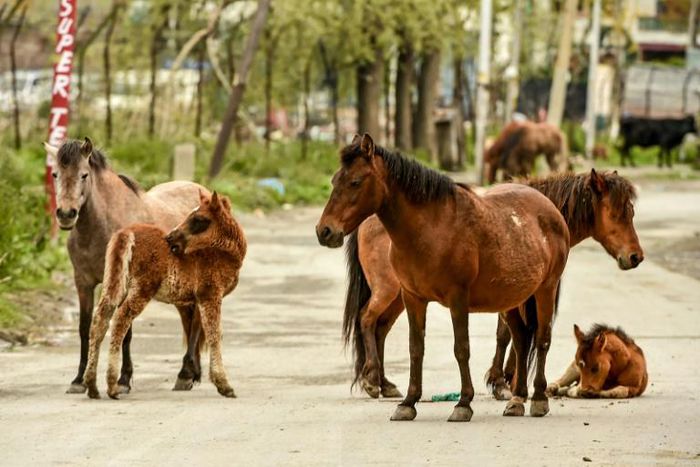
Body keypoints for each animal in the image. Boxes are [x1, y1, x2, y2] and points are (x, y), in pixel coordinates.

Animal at [44, 138, 207, 394]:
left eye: (84, 174)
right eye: (55, 174)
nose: (66, 214)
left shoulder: (124, 283)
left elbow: (124, 329)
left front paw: (123, 380)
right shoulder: (83, 283)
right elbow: (84, 328)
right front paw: (78, 380)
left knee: (197, 320)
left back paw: (184, 375)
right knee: (188, 319)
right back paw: (192, 374)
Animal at [84, 191, 246, 399]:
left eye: (199, 219)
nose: (170, 238)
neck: (220, 252)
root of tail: (126, 232)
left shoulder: (196, 299)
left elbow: (197, 330)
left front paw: (190, 376)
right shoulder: (210, 294)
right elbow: (214, 334)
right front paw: (224, 385)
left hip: (115, 280)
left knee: (100, 318)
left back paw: (92, 386)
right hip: (143, 287)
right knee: (121, 318)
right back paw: (113, 386)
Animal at [317, 133, 570, 421]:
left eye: (355, 182)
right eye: (334, 180)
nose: (325, 231)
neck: (432, 227)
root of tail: (550, 210)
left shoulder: (457, 298)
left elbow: (462, 348)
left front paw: (463, 403)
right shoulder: (412, 298)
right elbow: (416, 349)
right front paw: (408, 402)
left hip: (545, 289)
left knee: (542, 339)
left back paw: (538, 398)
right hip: (513, 298)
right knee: (521, 340)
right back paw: (516, 401)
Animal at [343, 169, 643, 400]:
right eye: (619, 213)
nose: (635, 256)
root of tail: (368, 220)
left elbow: (511, 334)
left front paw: (506, 380)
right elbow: (508, 335)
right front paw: (504, 382)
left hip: (401, 296)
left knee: (380, 328)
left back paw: (384, 384)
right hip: (390, 291)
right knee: (367, 319)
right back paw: (372, 379)